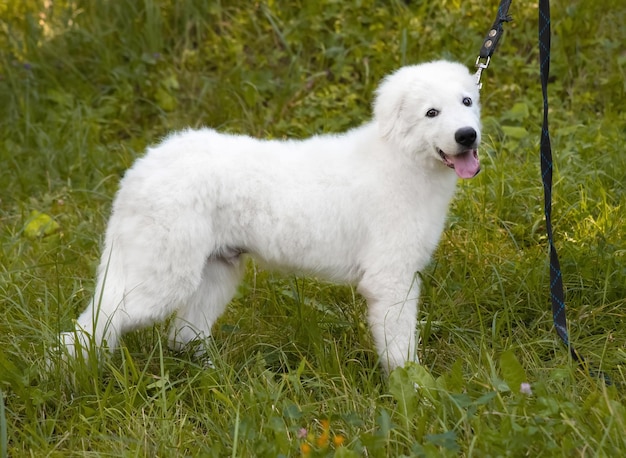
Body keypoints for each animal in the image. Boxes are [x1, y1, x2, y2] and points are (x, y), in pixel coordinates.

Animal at [61, 60, 480, 372]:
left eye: (466, 102)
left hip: (214, 271)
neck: (402, 158)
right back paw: (71, 377)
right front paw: (415, 391)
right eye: (431, 113)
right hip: (162, 273)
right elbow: (399, 345)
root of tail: (141, 169)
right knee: (92, 325)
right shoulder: (390, 278)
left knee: (182, 334)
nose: (467, 135)